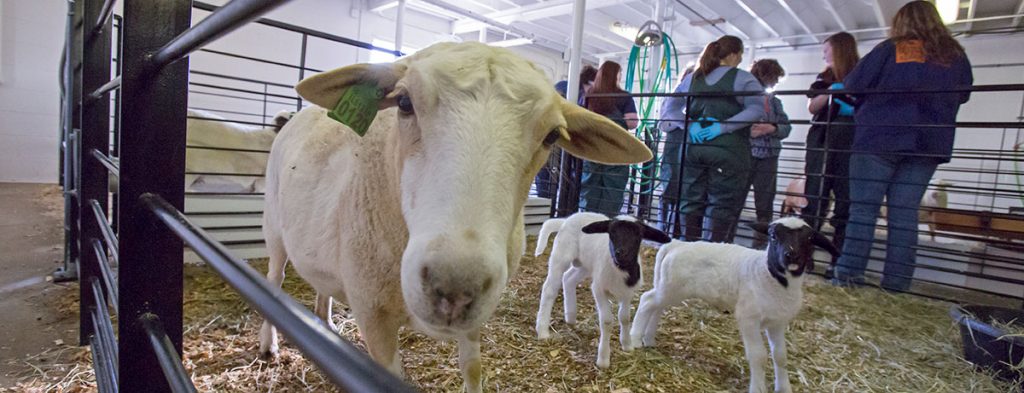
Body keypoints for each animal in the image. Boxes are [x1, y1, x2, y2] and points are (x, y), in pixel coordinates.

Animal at [260, 42, 651, 393]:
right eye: (404, 103)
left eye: (553, 134)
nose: (454, 289)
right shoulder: (372, 314)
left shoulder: (477, 316)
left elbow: (472, 367)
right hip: (274, 228)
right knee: (274, 279)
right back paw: (268, 346)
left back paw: (324, 324)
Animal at [532, 211, 675, 368]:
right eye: (611, 232)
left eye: (638, 235)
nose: (621, 253)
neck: (620, 270)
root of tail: (566, 220)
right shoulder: (599, 289)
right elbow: (607, 321)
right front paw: (603, 359)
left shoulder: (628, 294)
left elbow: (625, 318)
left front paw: (627, 345)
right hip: (561, 253)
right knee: (549, 288)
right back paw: (543, 330)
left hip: (585, 265)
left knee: (568, 279)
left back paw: (571, 316)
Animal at [630, 216, 839, 393]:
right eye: (773, 235)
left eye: (809, 238)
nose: (791, 256)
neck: (770, 274)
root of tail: (675, 244)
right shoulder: (749, 318)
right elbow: (759, 355)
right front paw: (758, 388)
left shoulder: (778, 323)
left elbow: (781, 356)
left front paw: (784, 388)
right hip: (671, 288)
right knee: (647, 300)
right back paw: (635, 339)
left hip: (668, 288)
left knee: (656, 307)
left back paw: (648, 339)